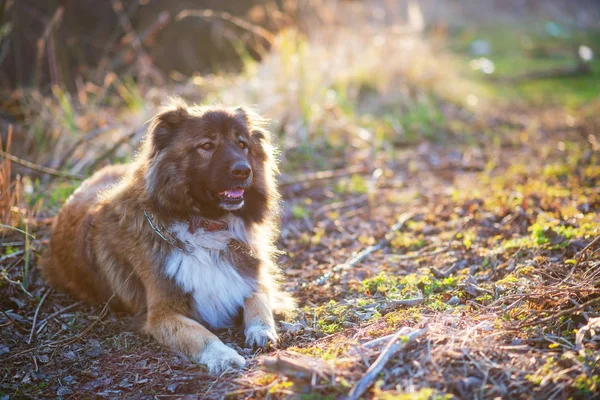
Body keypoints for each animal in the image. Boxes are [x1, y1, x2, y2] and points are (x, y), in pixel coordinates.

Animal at [39, 99, 292, 372]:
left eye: (242, 144)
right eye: (207, 145)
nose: (244, 171)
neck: (204, 224)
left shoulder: (248, 279)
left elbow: (259, 301)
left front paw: (262, 330)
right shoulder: (163, 314)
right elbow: (200, 335)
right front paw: (224, 356)